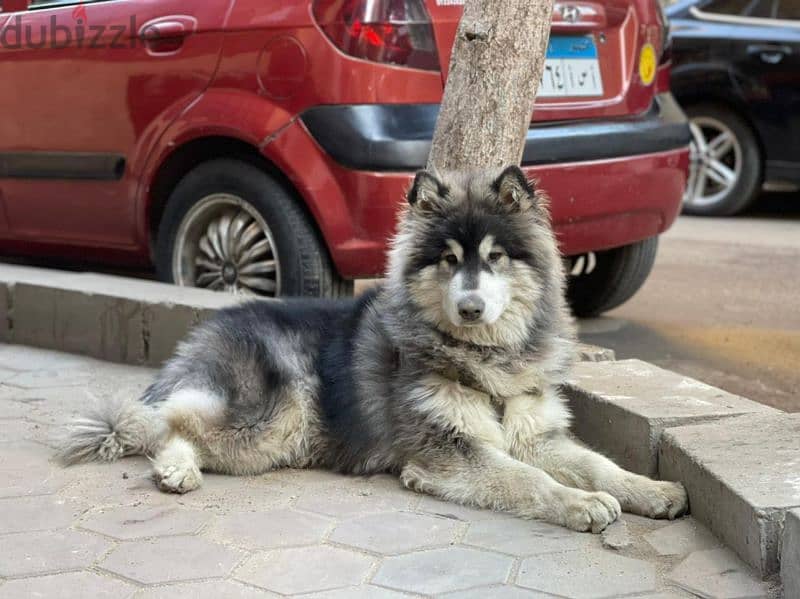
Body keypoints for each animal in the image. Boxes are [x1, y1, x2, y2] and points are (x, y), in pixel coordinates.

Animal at [61, 165, 688, 536]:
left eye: (494, 257)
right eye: (448, 260)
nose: (470, 309)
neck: (485, 360)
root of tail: (210, 326)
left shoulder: (536, 436)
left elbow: (599, 464)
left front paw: (651, 491)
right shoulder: (452, 451)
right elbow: (527, 480)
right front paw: (580, 505)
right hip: (272, 418)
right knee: (166, 423)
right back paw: (175, 467)